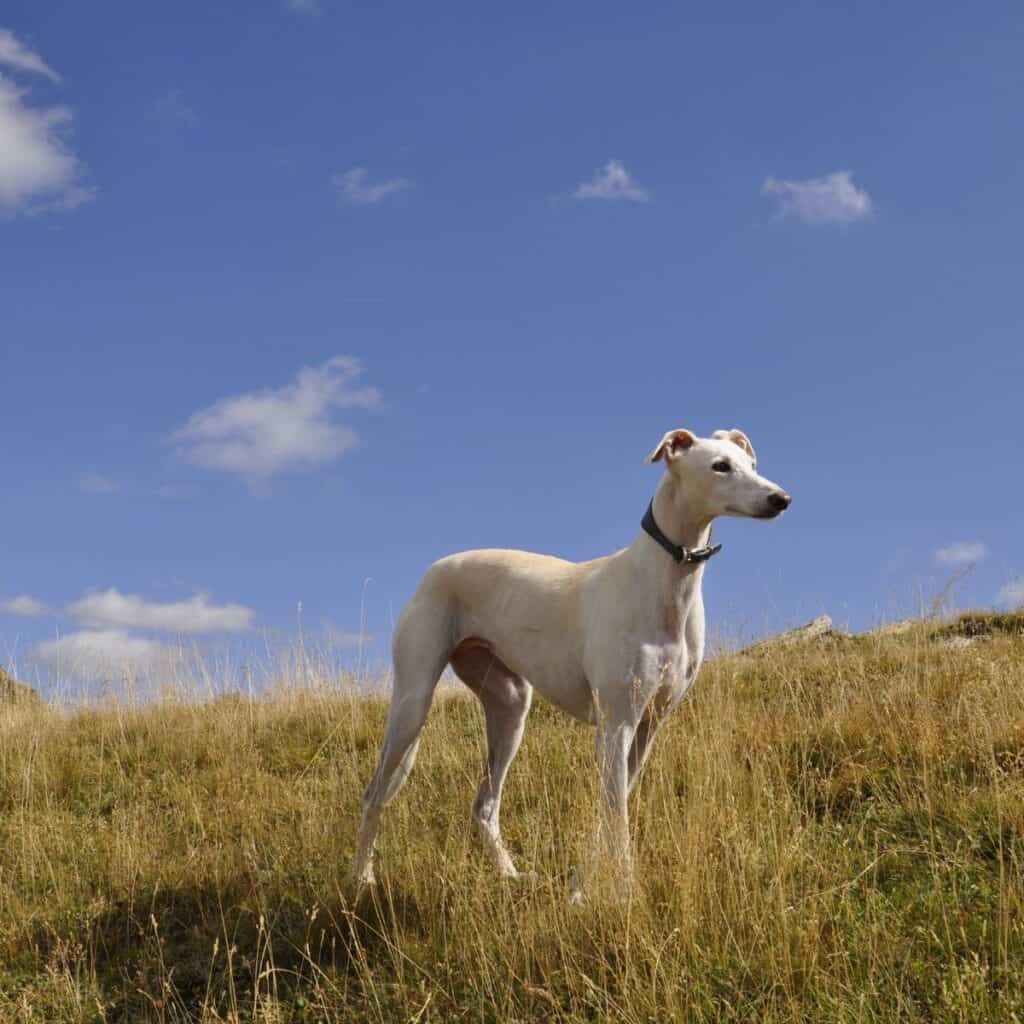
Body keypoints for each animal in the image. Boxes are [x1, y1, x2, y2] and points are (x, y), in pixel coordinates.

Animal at [352, 428, 790, 892]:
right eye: (720, 466)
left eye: (752, 465)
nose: (781, 499)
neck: (665, 581)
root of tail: (433, 569)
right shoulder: (616, 725)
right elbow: (617, 816)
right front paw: (624, 891)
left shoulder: (648, 727)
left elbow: (610, 809)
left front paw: (582, 887)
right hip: (412, 703)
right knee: (374, 794)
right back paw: (362, 877)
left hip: (510, 709)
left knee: (484, 805)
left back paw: (509, 874)